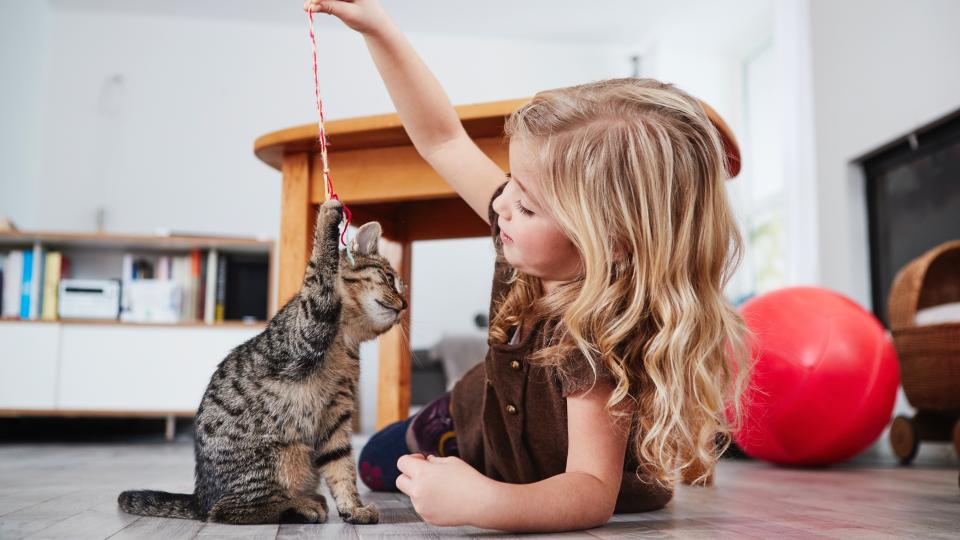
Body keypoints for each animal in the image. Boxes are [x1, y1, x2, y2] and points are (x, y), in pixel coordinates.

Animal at [118, 199, 406, 524]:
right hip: (280, 455)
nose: (405, 305)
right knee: (226, 511)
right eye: (390, 280)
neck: (346, 341)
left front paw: (353, 508)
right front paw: (327, 218)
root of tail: (199, 498)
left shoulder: (337, 412)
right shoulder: (305, 329)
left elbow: (341, 465)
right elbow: (320, 269)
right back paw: (302, 505)